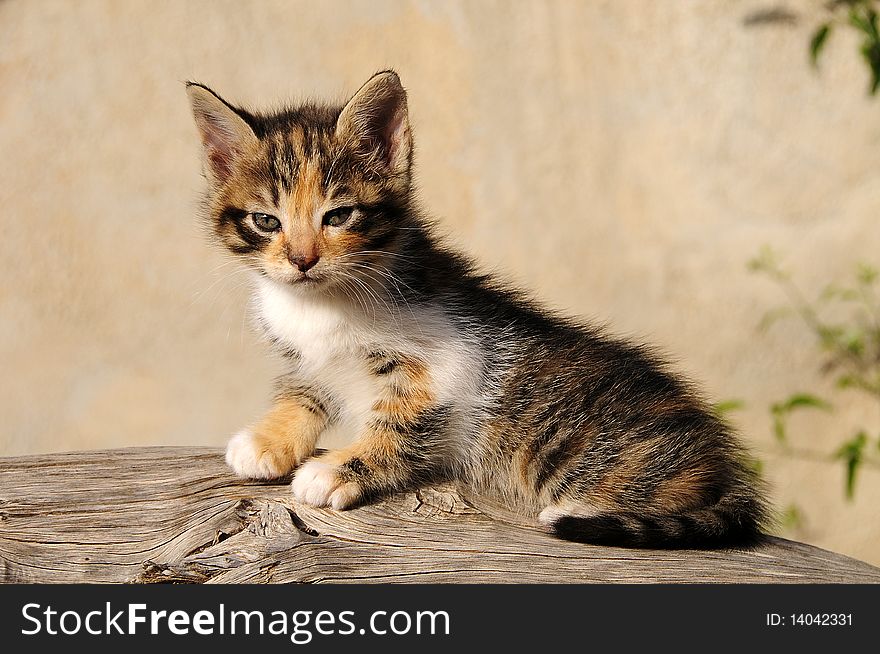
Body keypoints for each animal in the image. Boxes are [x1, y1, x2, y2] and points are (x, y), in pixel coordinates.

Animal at [187, 70, 768, 548]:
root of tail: (719, 454)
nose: (302, 259)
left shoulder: (446, 361)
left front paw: (339, 470)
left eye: (339, 215)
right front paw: (269, 440)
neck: (320, 303)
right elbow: (304, 390)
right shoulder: (308, 355)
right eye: (266, 221)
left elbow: (401, 424)